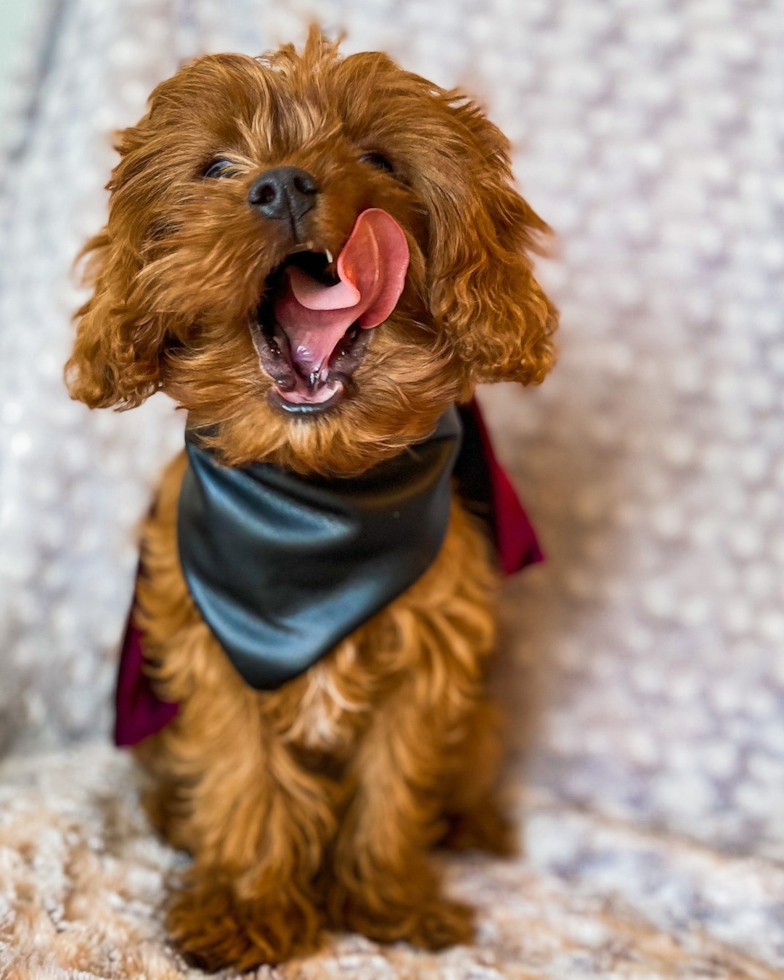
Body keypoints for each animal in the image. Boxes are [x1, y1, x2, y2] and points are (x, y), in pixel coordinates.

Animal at [67, 28, 556, 972]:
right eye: (218, 166)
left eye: (378, 158)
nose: (283, 183)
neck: (319, 497)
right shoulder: (218, 655)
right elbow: (247, 783)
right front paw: (247, 910)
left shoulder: (427, 662)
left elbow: (393, 787)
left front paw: (390, 901)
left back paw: (471, 825)